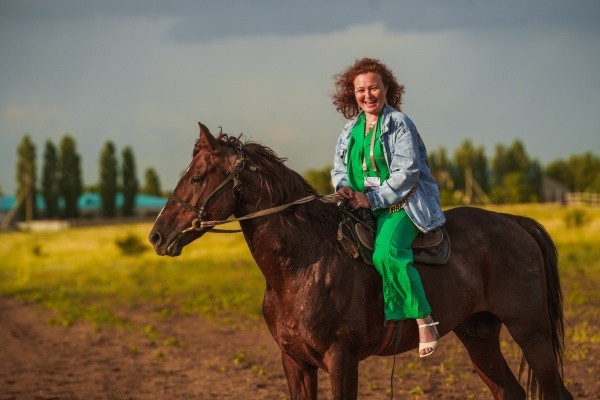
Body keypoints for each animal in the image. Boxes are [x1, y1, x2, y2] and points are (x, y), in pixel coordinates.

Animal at [149, 123, 573, 400]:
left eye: (198, 177)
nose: (157, 235)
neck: (304, 266)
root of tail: (515, 222)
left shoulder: (342, 359)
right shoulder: (294, 362)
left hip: (531, 332)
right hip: (479, 336)